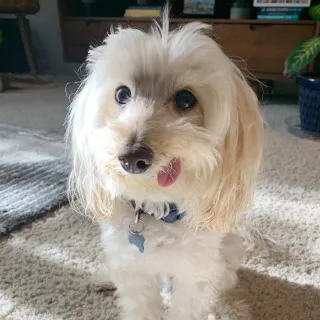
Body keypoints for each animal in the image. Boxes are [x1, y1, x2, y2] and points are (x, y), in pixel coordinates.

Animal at [67, 10, 262, 320]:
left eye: (185, 99)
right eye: (121, 94)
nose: (132, 157)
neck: (156, 208)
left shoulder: (195, 274)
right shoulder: (132, 270)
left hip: (228, 251)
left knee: (225, 279)